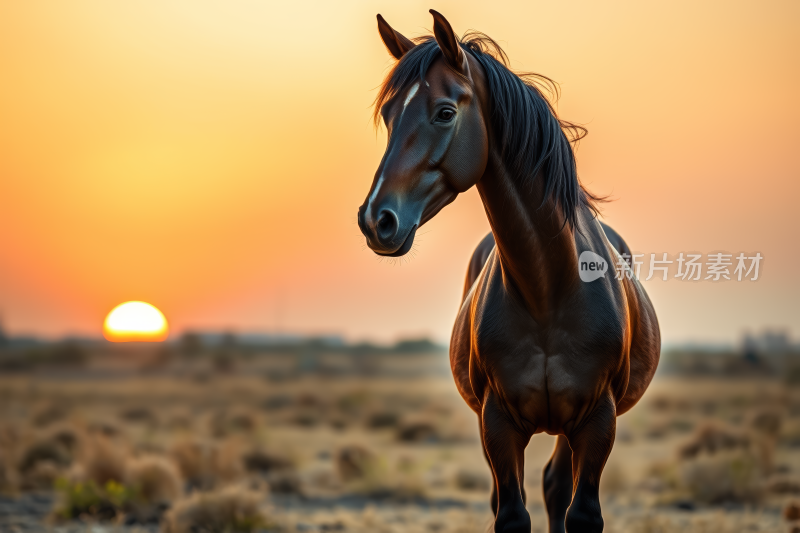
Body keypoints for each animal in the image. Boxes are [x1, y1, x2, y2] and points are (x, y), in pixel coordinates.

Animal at [360, 10, 660, 528]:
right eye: (389, 114)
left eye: (445, 112)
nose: (377, 219)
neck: (548, 289)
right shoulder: (496, 422)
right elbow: (511, 514)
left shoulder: (597, 421)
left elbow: (581, 512)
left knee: (556, 486)